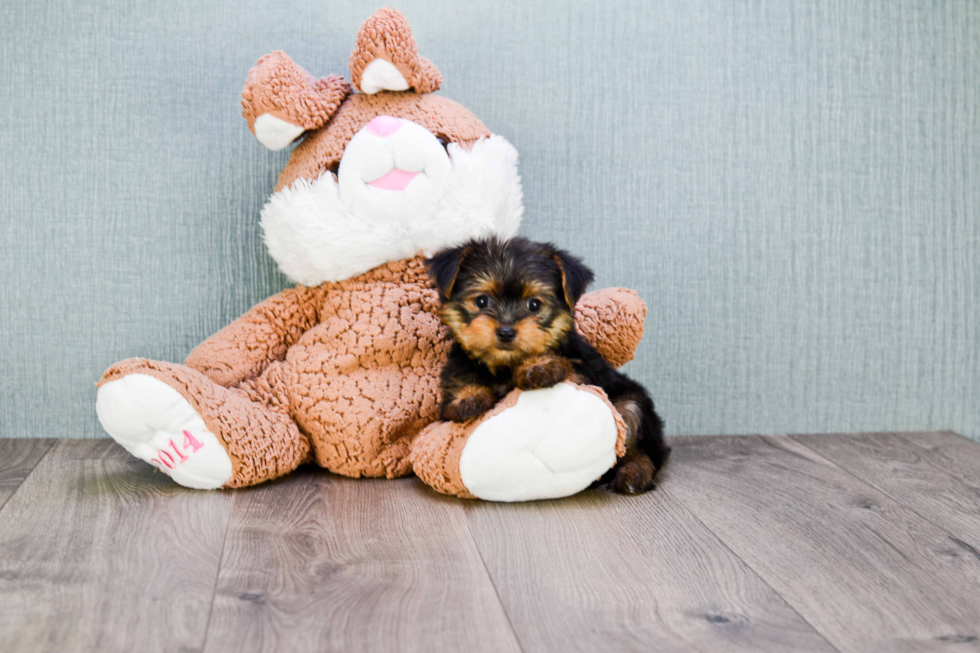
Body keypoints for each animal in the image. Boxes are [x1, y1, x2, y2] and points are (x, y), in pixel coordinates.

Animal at [424, 236, 668, 494]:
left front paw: (538, 366)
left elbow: (566, 366)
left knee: (640, 443)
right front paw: (467, 396)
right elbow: (456, 392)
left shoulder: (584, 371)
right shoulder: (452, 386)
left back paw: (634, 474)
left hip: (631, 403)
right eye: (481, 301)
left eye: (534, 305)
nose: (506, 331)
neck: (504, 365)